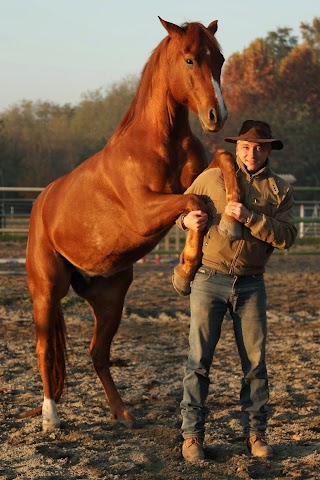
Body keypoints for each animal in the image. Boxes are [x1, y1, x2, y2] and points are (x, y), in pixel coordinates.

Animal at [25, 17, 240, 432]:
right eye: (190, 59)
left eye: (220, 59)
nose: (216, 115)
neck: (158, 141)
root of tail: (41, 204)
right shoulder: (144, 212)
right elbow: (195, 204)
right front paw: (184, 270)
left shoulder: (192, 179)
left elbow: (222, 163)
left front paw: (236, 207)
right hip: (46, 292)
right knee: (45, 349)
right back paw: (51, 418)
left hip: (110, 299)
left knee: (98, 353)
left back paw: (122, 413)